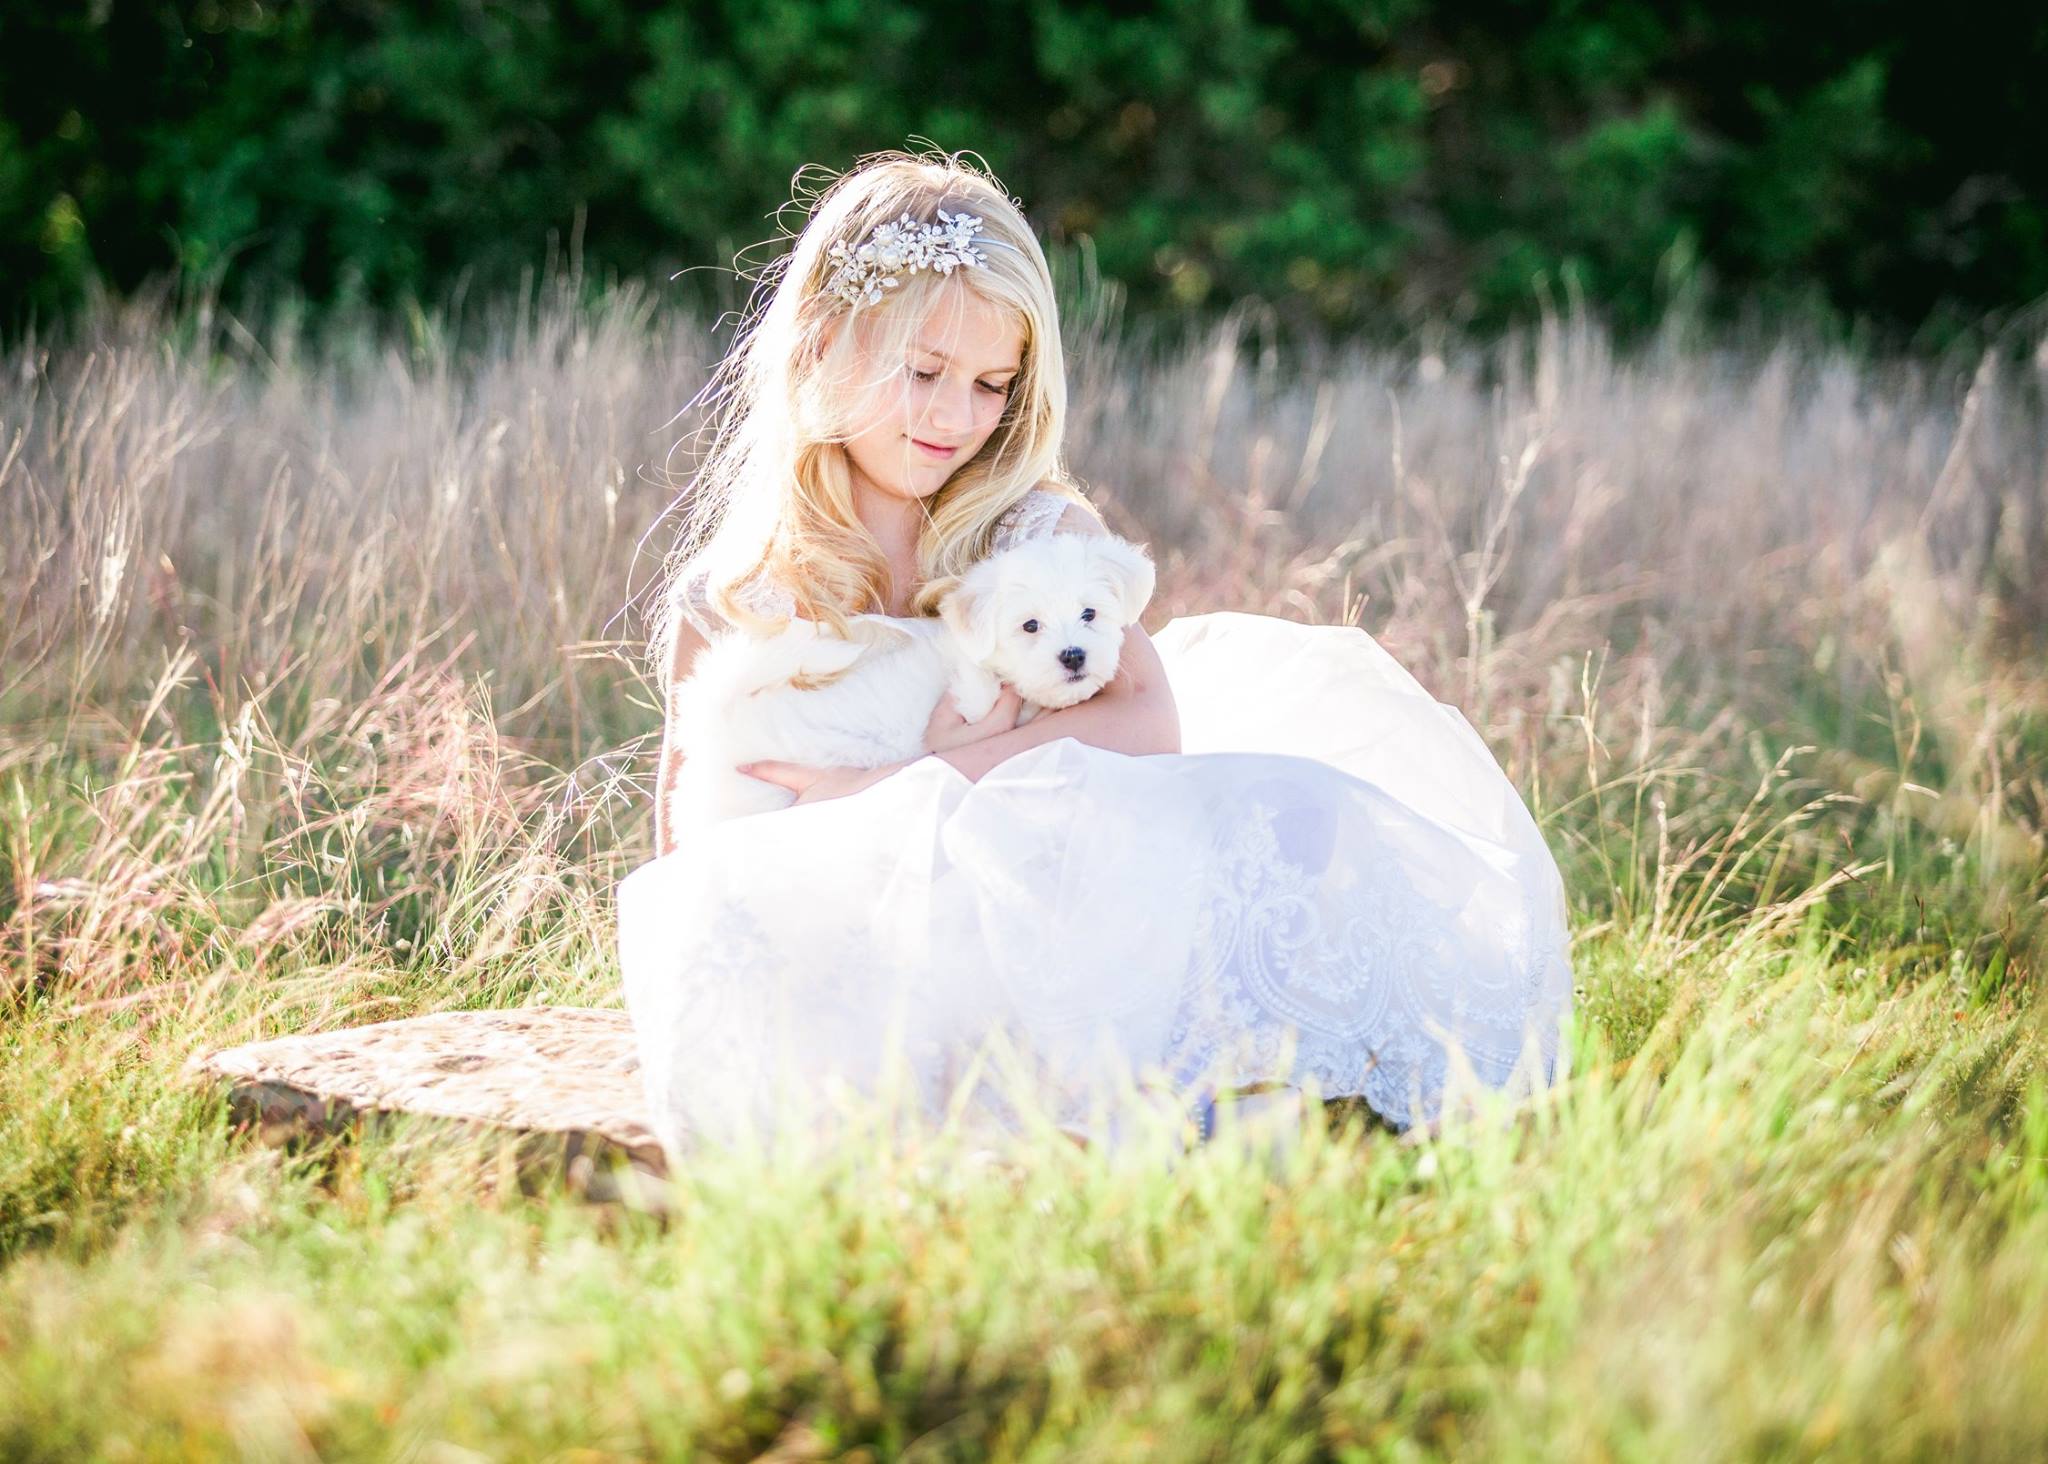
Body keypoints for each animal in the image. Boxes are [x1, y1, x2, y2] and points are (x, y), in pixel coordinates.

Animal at [667, 528, 1155, 831]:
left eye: (1089, 614)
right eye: (1030, 626)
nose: (1073, 656)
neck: (985, 663)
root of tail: (721, 721)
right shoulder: (977, 705)